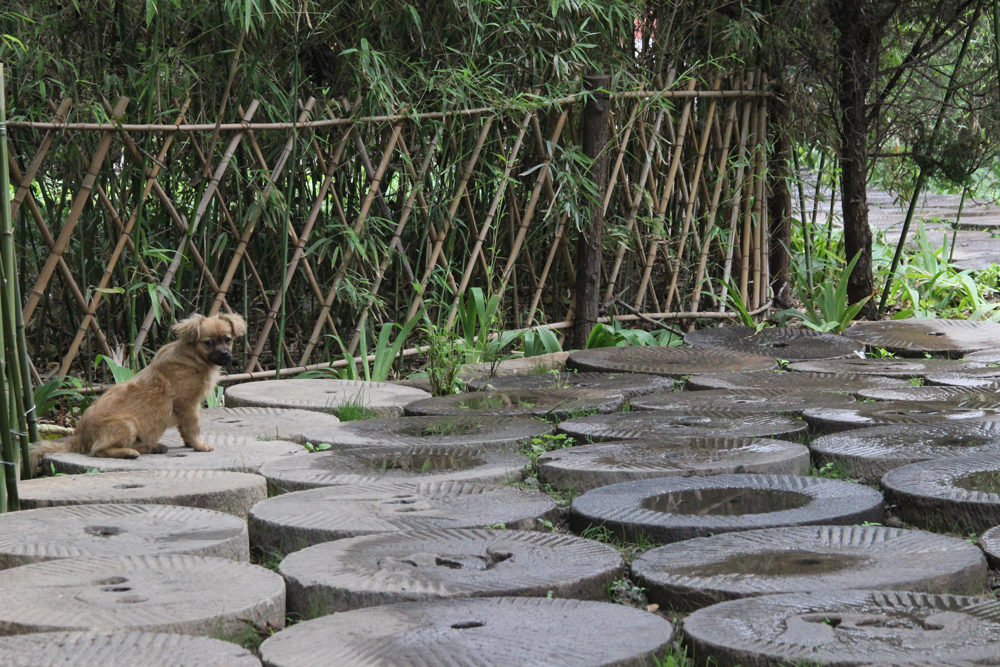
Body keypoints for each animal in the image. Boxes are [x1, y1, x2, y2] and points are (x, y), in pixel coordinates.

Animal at [31, 314, 246, 468]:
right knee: (98, 450)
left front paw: (189, 444)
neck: (193, 358)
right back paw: (128, 452)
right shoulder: (188, 404)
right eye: (208, 343)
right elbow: (193, 427)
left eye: (227, 339)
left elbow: (185, 429)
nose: (225, 354)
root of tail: (78, 437)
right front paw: (199, 446)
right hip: (128, 423)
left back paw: (153, 447)